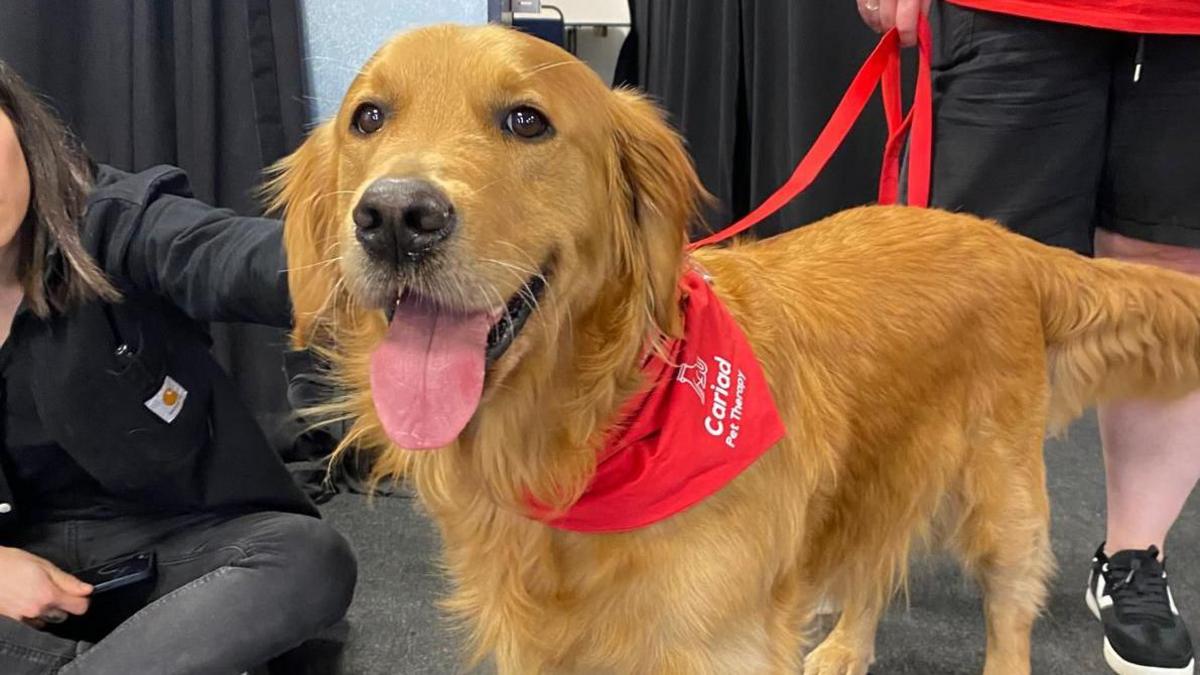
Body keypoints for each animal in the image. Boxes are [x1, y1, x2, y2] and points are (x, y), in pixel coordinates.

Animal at [267, 23, 1200, 667]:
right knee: (873, 555)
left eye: (526, 120)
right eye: (368, 117)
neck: (593, 433)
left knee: (1008, 616)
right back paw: (846, 647)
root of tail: (1002, 238)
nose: (395, 217)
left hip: (1000, 493)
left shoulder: (717, 644)